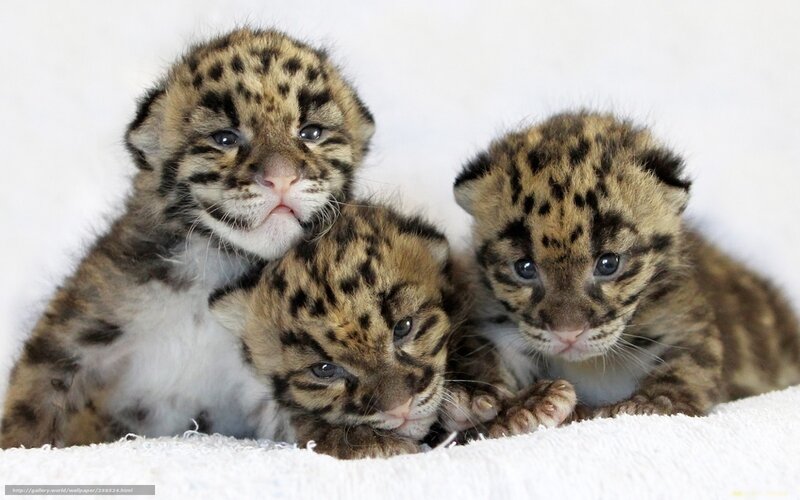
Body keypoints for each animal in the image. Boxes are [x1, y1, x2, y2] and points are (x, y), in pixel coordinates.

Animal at [1, 27, 375, 448]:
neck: (215, 264)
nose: (281, 177)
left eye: (311, 133)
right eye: (225, 138)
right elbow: (33, 398)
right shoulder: (76, 327)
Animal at [453, 111, 800, 420]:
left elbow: (690, 361)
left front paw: (653, 402)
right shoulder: (496, 327)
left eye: (608, 263)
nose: (568, 333)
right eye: (524, 268)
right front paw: (514, 405)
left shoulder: (682, 317)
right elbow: (488, 360)